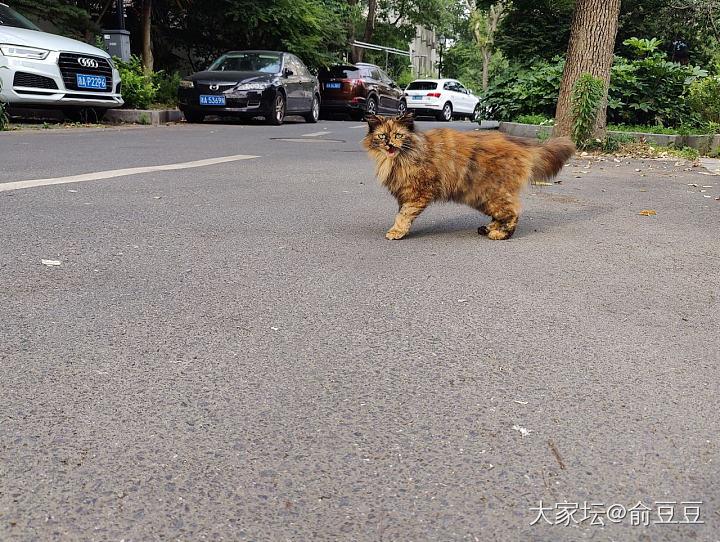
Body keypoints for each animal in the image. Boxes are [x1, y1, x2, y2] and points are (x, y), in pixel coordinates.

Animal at [362, 113, 576, 241]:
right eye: (382, 136)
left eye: (398, 135)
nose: (389, 144)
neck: (398, 160)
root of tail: (522, 145)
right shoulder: (404, 193)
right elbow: (401, 213)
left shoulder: (418, 193)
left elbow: (403, 215)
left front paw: (396, 232)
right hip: (482, 196)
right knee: (501, 215)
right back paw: (487, 228)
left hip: (493, 194)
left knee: (512, 213)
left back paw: (499, 234)